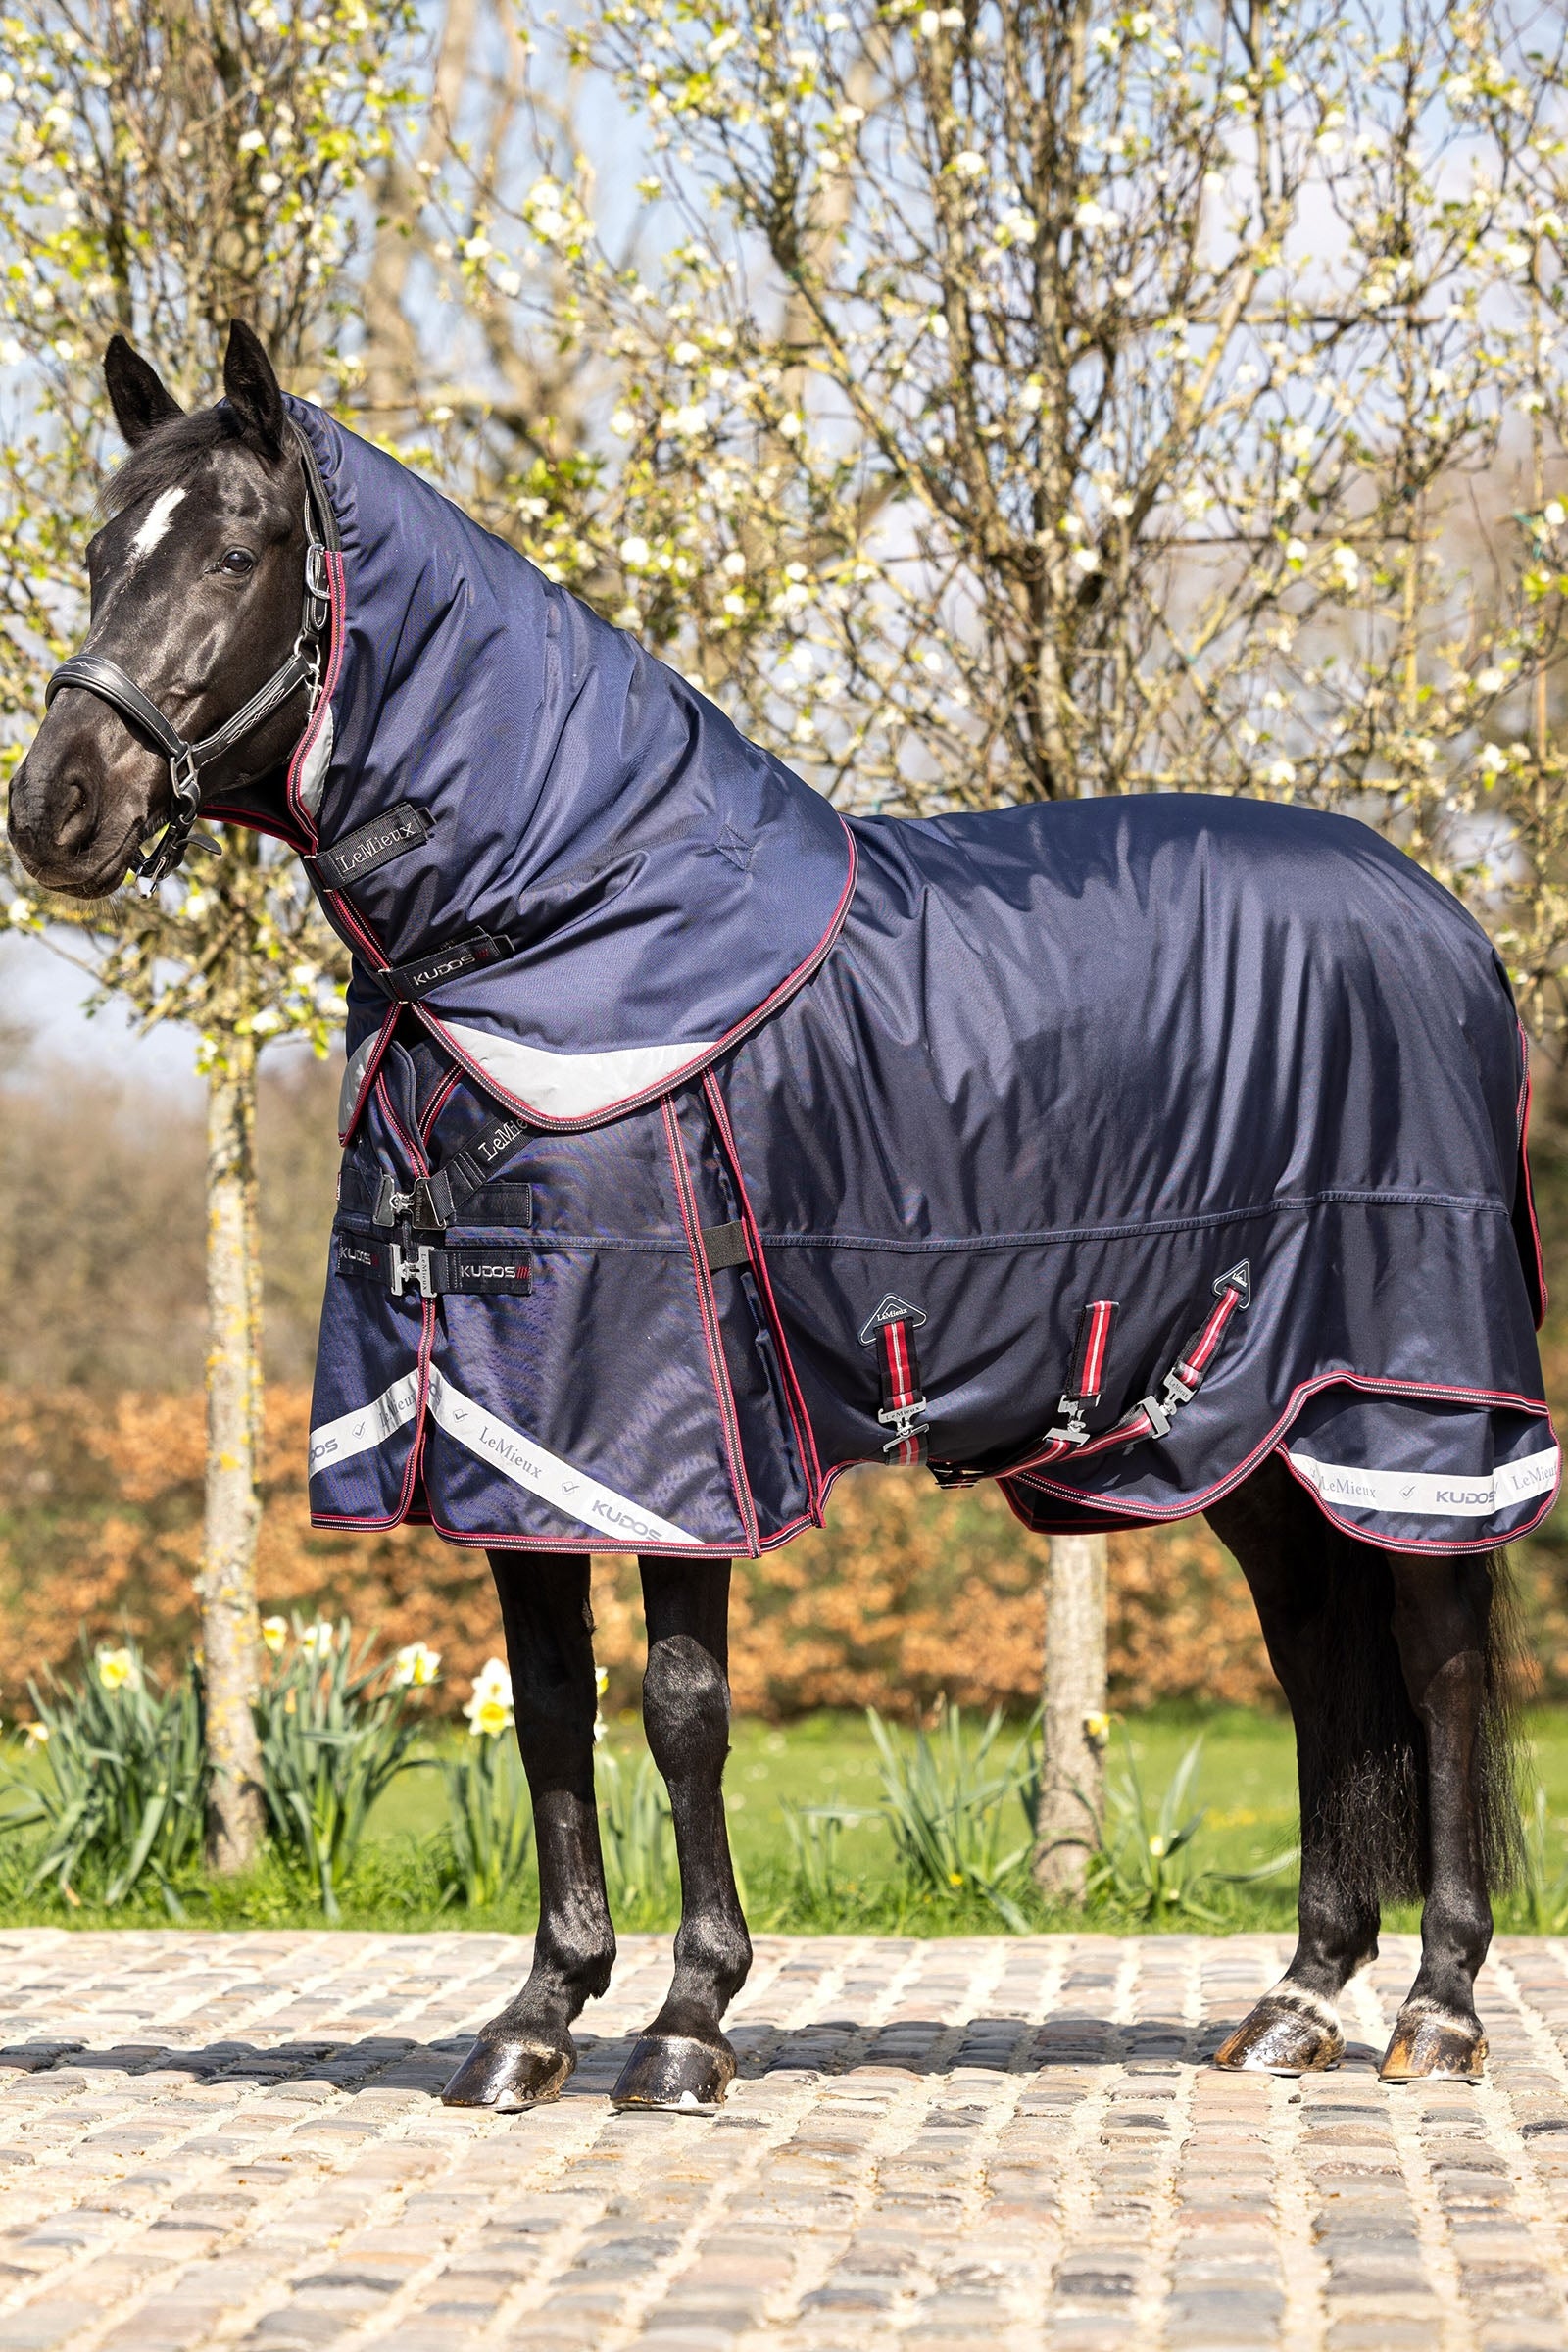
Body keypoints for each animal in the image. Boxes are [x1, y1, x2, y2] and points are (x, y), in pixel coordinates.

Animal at [8, 321, 1552, 2109]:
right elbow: (551, 1706)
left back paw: (1439, 2010)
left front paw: (687, 2021)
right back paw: (1298, 2000)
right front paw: (536, 2019)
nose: (54, 809)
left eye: (235, 553)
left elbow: (680, 1704)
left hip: (1405, 1399)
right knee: (1318, 1658)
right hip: (1242, 1421)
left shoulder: (675, 1430)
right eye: (95, 551)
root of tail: (1450, 927)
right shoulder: (502, 1433)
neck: (565, 930)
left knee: (1439, 1654)